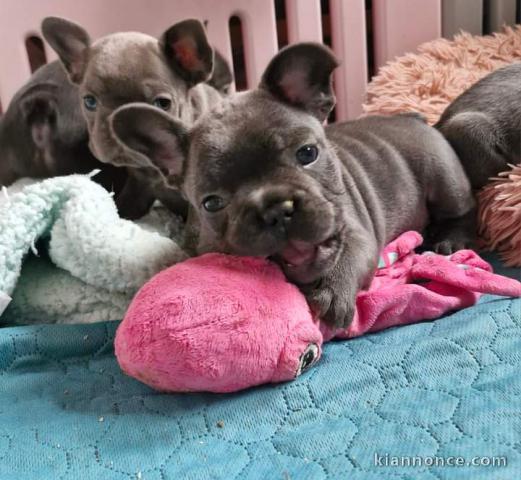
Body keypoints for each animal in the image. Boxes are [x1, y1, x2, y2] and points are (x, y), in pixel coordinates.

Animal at [42, 16, 232, 219]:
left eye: (162, 103)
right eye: (89, 101)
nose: (116, 119)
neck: (153, 171)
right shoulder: (138, 187)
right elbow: (122, 210)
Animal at [109, 44, 476, 330]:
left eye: (307, 153)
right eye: (212, 203)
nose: (274, 210)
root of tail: (412, 117)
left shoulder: (357, 231)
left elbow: (349, 256)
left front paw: (330, 292)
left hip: (444, 178)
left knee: (463, 210)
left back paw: (449, 239)